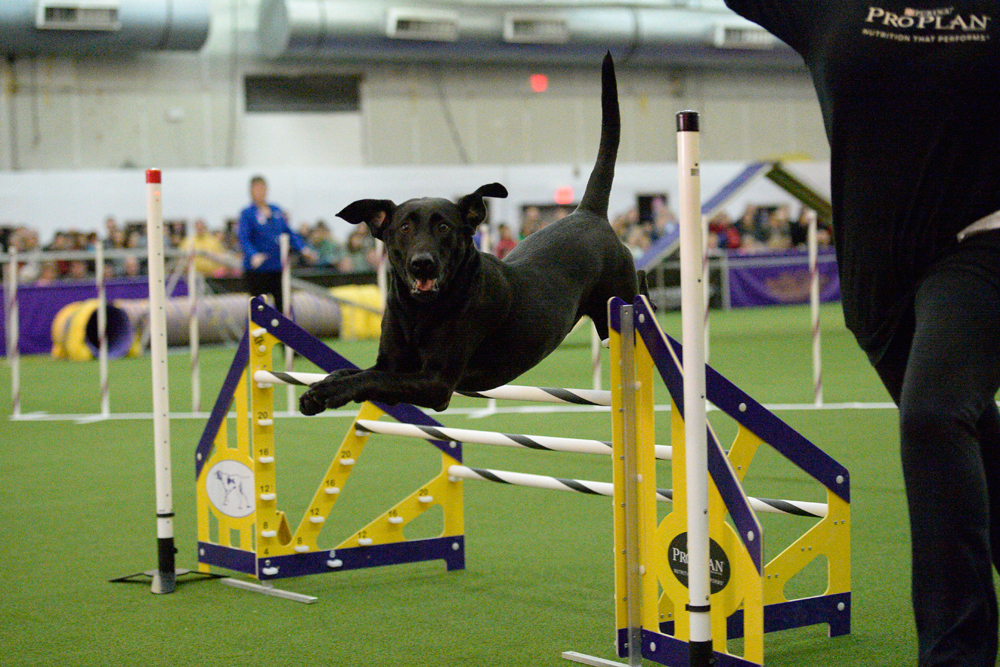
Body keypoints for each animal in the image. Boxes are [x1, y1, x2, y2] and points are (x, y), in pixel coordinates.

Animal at [300, 53, 636, 418]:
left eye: (443, 226)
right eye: (404, 227)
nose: (422, 263)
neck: (420, 310)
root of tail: (588, 212)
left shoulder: (436, 382)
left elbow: (369, 379)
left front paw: (329, 391)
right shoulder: (391, 362)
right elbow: (356, 371)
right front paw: (320, 388)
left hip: (620, 303)